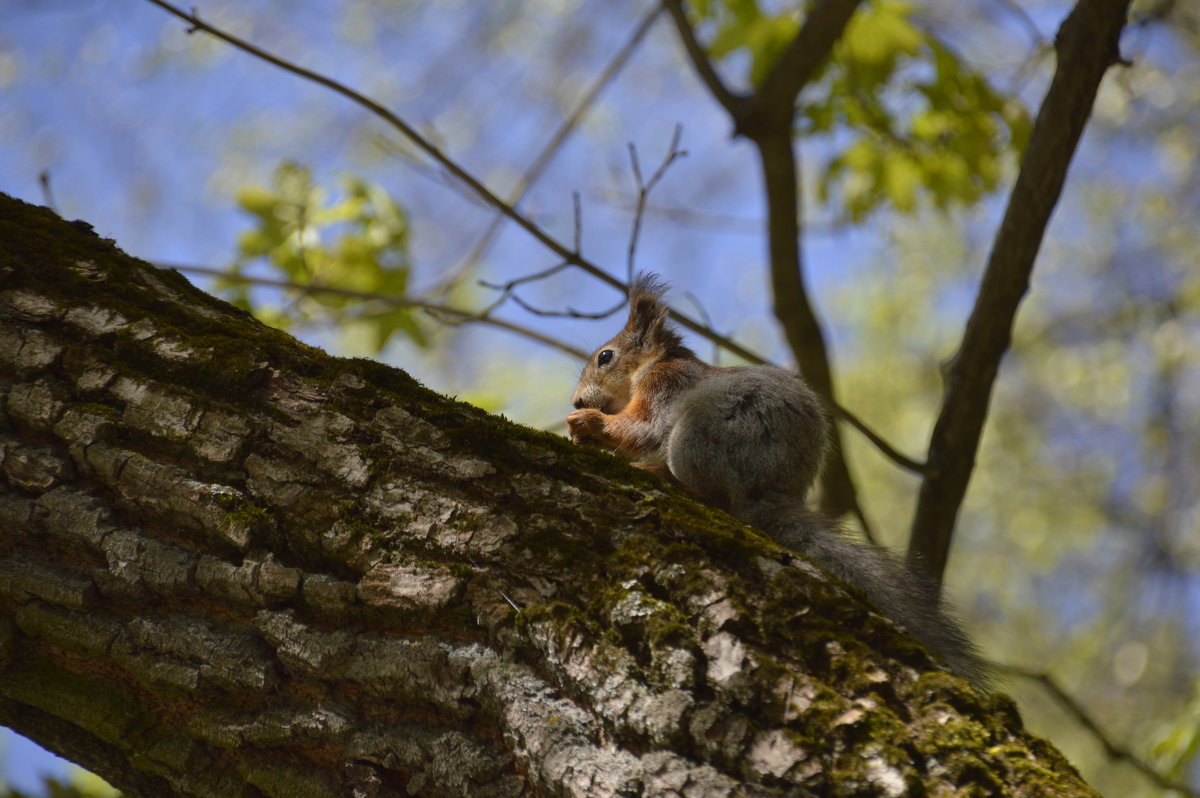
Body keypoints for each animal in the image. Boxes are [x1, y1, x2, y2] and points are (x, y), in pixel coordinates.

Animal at [568, 273, 984, 686]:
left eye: (605, 356)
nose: (575, 402)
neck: (653, 365)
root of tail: (769, 496)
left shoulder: (666, 384)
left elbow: (643, 428)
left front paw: (591, 423)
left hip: (700, 433)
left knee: (718, 498)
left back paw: (666, 477)